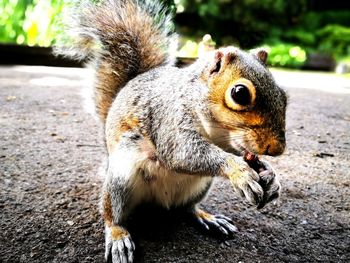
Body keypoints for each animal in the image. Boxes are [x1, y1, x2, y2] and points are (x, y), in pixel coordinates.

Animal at [55, 0, 288, 262]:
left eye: (283, 95)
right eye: (239, 93)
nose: (277, 149)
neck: (216, 130)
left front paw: (270, 175)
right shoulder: (168, 117)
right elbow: (181, 153)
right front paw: (240, 171)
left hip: (200, 186)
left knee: (187, 208)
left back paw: (207, 217)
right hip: (121, 177)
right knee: (112, 213)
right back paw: (117, 236)